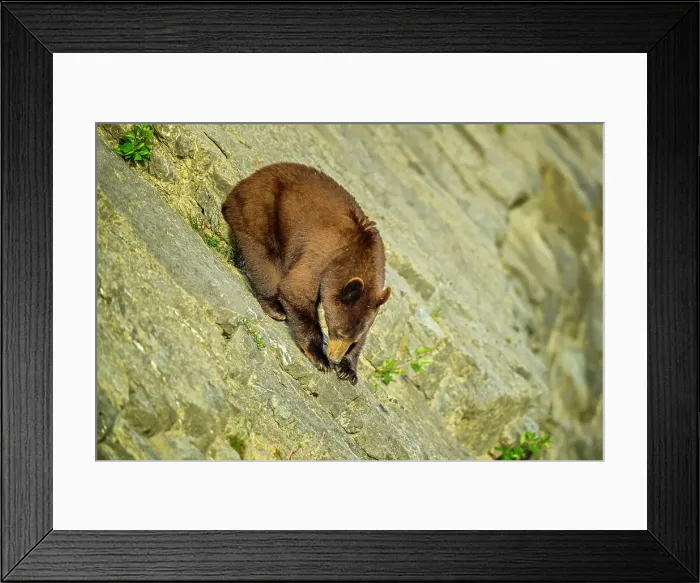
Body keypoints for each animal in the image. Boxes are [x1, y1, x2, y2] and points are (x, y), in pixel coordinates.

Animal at [221, 162, 391, 384]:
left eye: (351, 338)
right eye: (338, 331)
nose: (334, 357)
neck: (358, 257)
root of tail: (255, 175)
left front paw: (348, 369)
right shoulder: (322, 256)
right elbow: (296, 290)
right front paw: (319, 357)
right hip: (264, 207)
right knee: (261, 252)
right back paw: (275, 307)